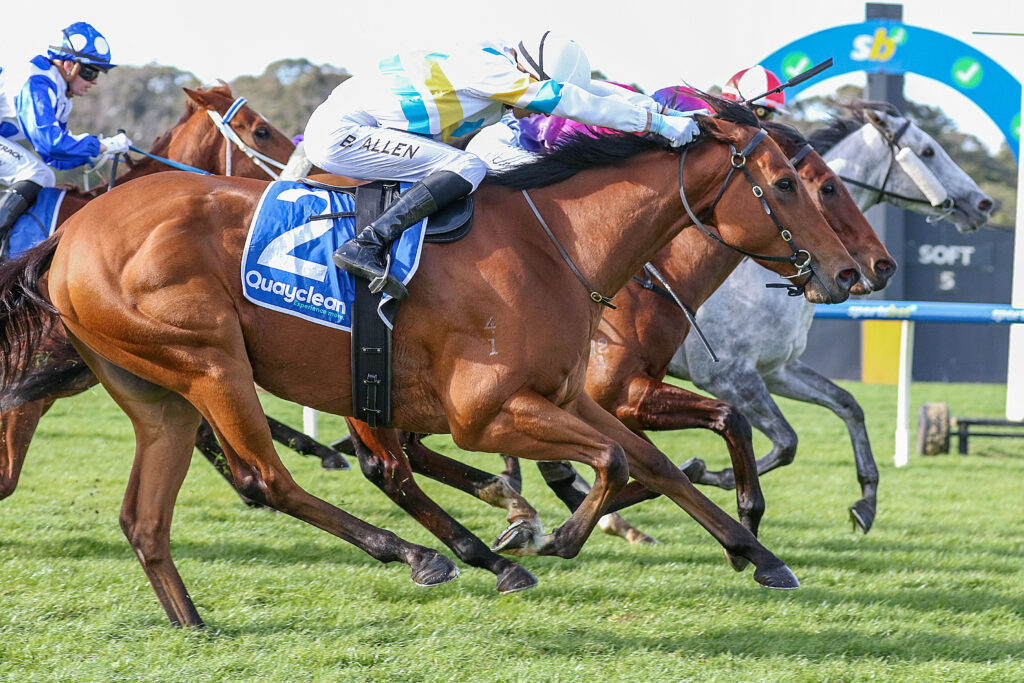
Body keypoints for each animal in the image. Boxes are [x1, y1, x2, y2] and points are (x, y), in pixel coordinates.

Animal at [669, 103, 994, 532]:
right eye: (927, 151)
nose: (984, 203)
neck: (752, 278)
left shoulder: (776, 370)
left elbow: (846, 405)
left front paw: (866, 501)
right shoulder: (726, 375)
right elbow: (786, 441)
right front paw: (709, 473)